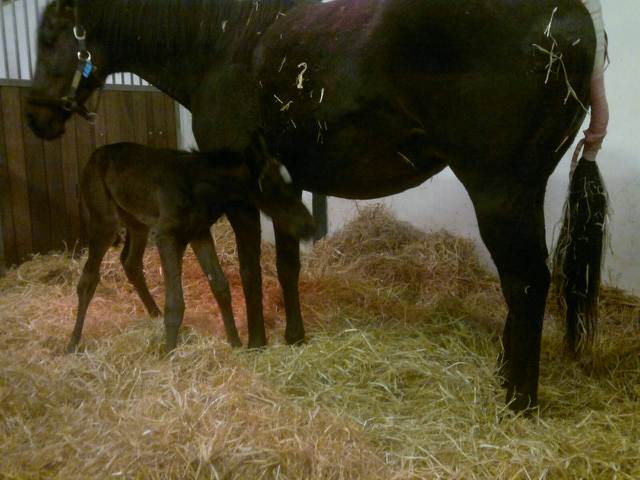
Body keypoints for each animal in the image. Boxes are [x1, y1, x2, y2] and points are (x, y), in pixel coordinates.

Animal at [68, 139, 316, 352]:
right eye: (270, 186)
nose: (308, 227)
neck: (196, 186)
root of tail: (93, 157)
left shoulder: (199, 233)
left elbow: (220, 286)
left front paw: (235, 343)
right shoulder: (166, 235)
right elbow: (175, 302)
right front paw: (168, 354)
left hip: (137, 223)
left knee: (130, 263)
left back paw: (154, 313)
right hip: (104, 223)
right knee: (88, 279)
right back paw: (73, 343)